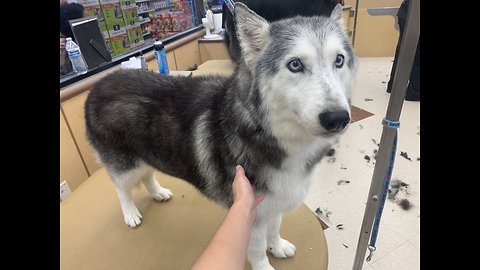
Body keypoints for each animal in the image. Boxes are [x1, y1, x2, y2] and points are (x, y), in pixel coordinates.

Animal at [85, 2, 356, 270]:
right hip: (125, 165)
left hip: (148, 154)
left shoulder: (274, 202)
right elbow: (257, 249)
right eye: (295, 64)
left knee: (148, 174)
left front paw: (277, 247)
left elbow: (275, 228)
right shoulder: (250, 212)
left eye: (339, 60)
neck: (269, 134)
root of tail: (99, 85)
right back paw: (130, 213)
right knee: (122, 188)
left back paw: (157, 192)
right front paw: (264, 264)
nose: (337, 118)